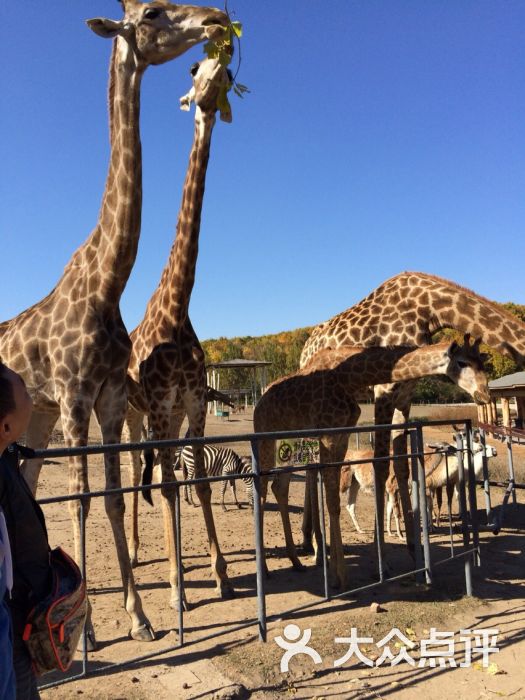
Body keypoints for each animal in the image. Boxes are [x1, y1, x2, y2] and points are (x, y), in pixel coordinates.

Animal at [0, 0, 227, 648]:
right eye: (151, 12)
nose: (216, 18)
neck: (107, 285)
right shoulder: (78, 397)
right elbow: (81, 497)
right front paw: (93, 629)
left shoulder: (105, 400)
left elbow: (113, 497)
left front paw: (140, 615)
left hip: (39, 414)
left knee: (30, 483)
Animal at [252, 336, 490, 588]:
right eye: (462, 362)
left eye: (481, 362)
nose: (484, 394)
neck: (349, 376)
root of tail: (259, 401)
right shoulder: (327, 434)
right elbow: (333, 500)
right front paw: (341, 576)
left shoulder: (342, 434)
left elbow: (334, 500)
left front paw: (335, 571)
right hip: (265, 436)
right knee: (262, 491)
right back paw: (265, 569)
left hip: (288, 441)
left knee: (279, 486)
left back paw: (295, 561)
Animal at [296, 270, 524, 564]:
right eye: (462, 363)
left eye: (484, 364)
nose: (484, 395)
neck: (427, 310)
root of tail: (305, 350)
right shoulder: (383, 391)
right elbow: (381, 465)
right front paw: (381, 553)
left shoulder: (404, 397)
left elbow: (402, 465)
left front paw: (414, 550)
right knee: (312, 462)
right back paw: (316, 546)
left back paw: (311, 542)